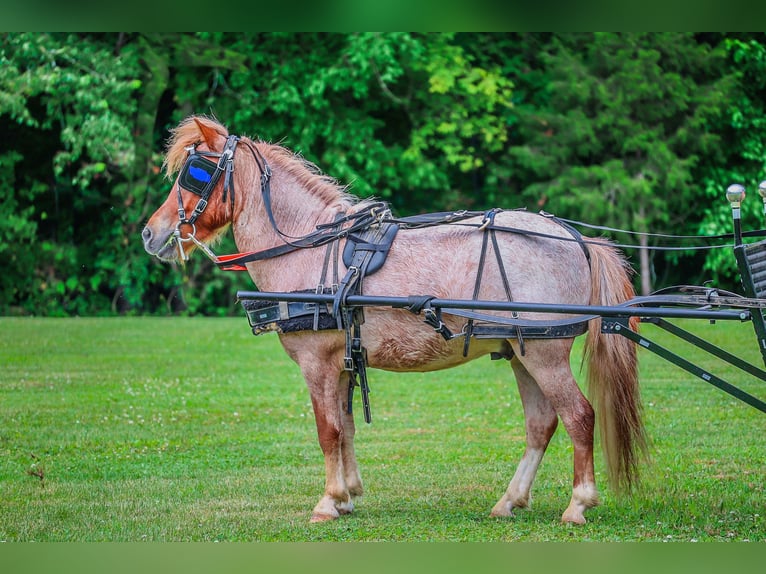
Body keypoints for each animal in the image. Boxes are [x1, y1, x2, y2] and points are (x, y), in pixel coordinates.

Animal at [141, 116, 644, 528]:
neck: (308, 247)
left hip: (544, 354)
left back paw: (578, 504)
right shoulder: (343, 363)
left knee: (578, 416)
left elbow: (326, 431)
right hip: (522, 350)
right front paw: (346, 496)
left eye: (195, 172)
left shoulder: (317, 363)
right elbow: (344, 428)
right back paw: (510, 501)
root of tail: (575, 239)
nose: (150, 232)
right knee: (541, 424)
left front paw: (327, 502)